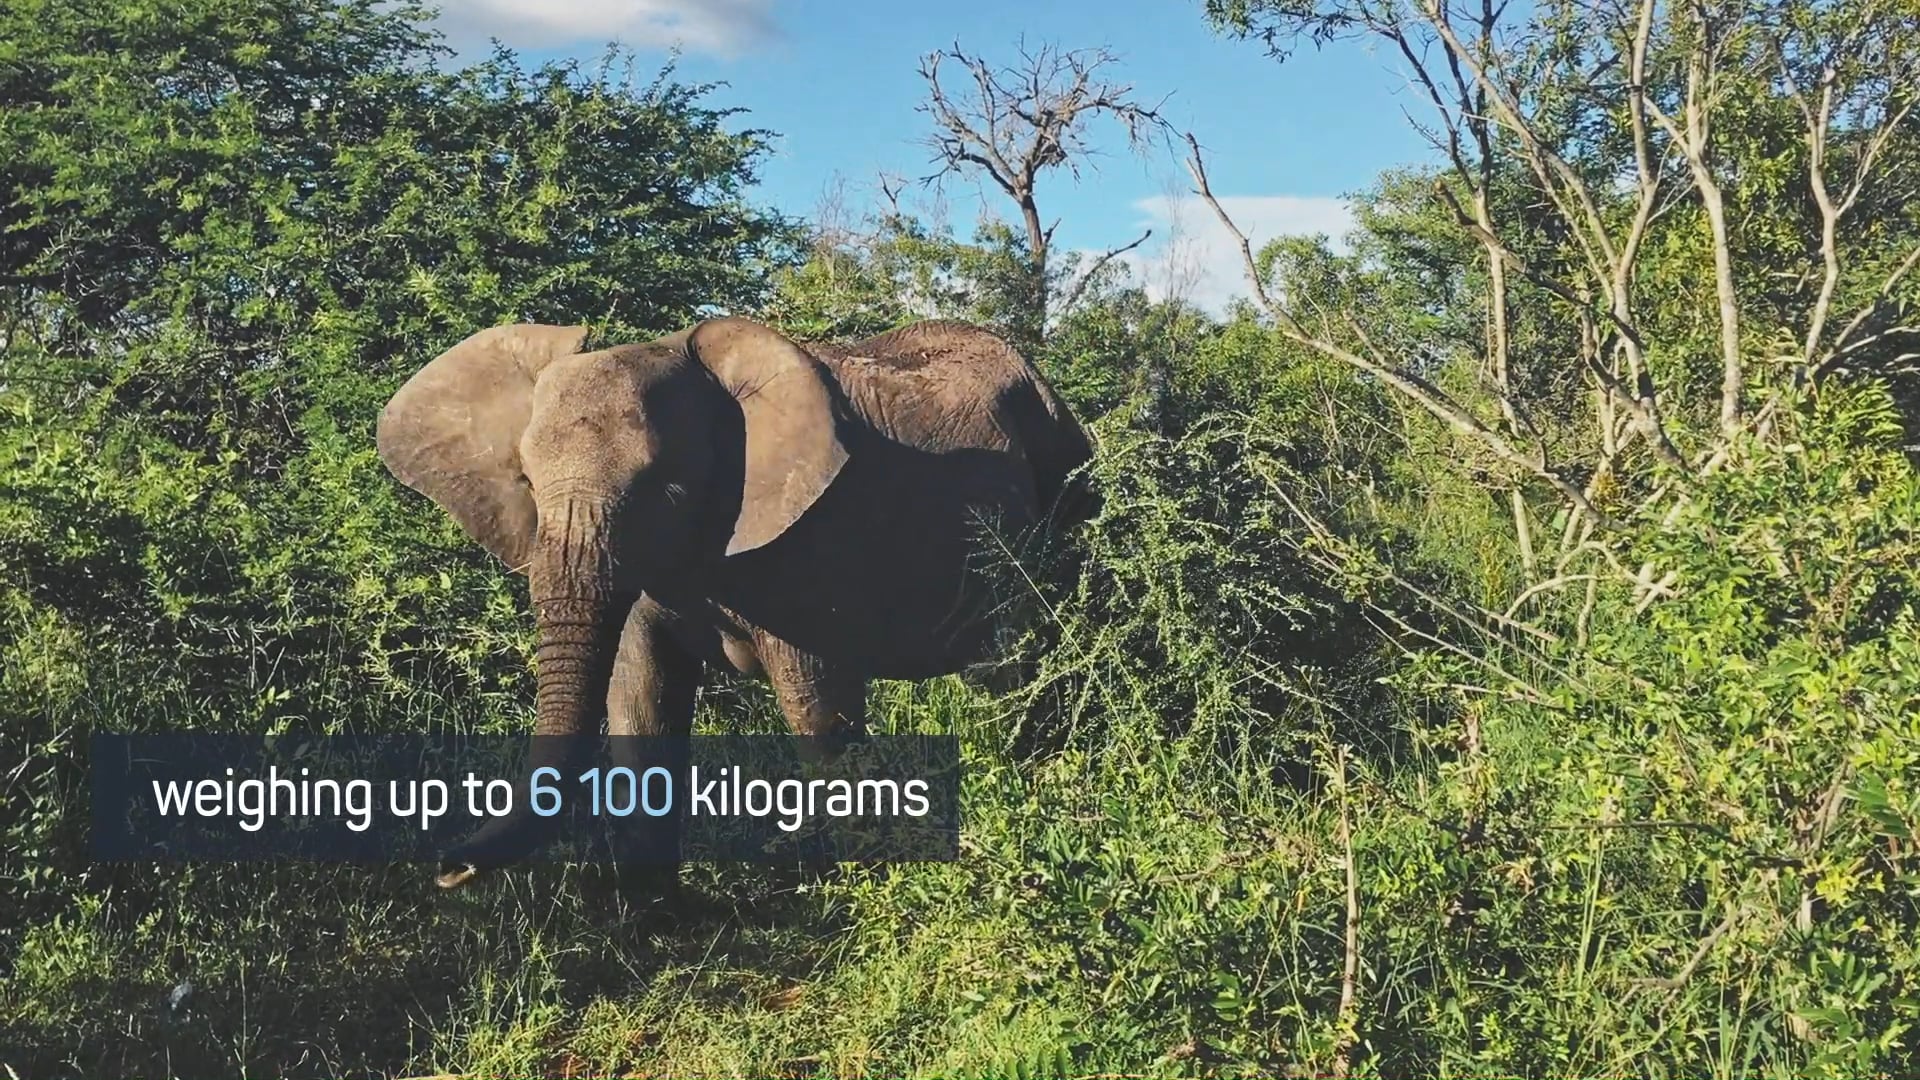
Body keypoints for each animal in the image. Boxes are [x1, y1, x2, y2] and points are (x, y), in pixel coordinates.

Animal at [375, 316, 1096, 889]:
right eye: (524, 481)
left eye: (667, 488)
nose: (447, 868)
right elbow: (641, 697)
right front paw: (651, 918)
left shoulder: (806, 540)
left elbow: (816, 705)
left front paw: (852, 886)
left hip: (1064, 482)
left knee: (1013, 671)